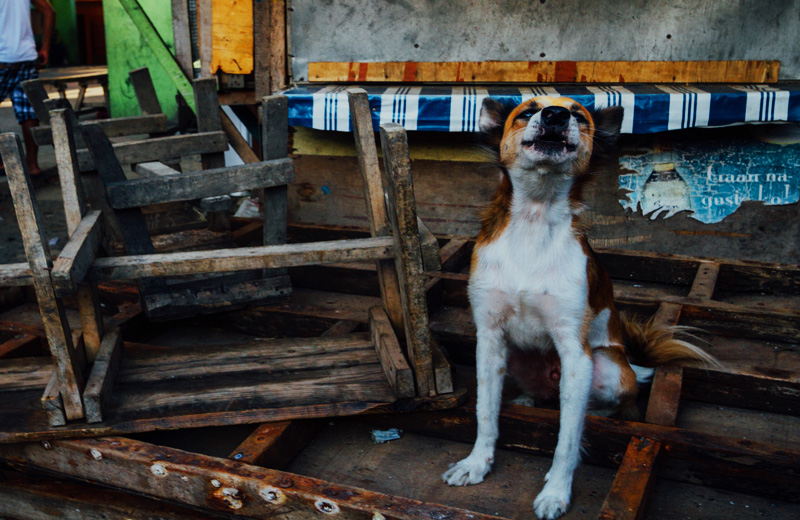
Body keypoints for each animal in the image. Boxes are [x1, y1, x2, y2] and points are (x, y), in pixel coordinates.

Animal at [444, 96, 720, 516]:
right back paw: (528, 398)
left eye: (579, 115)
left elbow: (568, 439)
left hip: (607, 368)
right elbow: (485, 413)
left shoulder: (576, 354)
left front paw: (556, 492)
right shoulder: (489, 339)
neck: (534, 217)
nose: (555, 115)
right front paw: (477, 464)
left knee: (597, 405)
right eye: (527, 111)